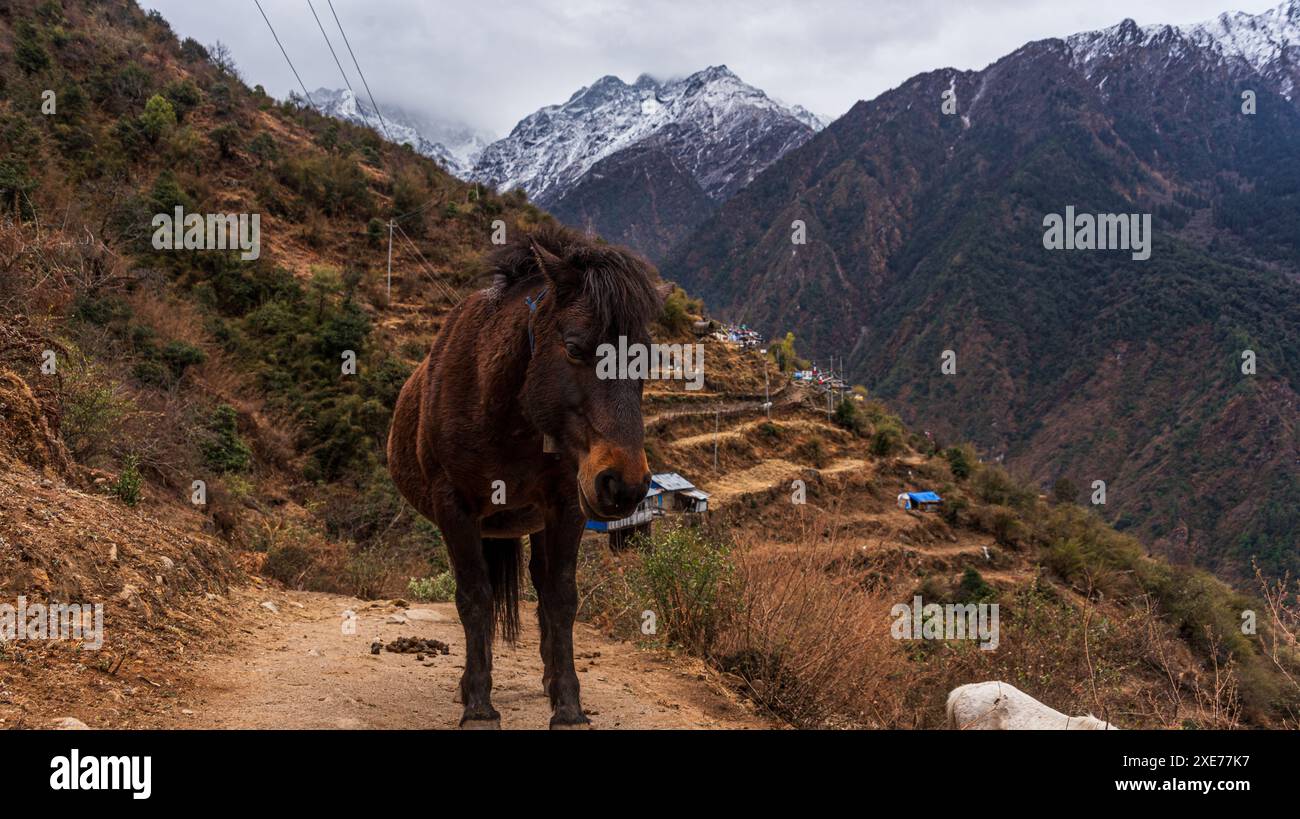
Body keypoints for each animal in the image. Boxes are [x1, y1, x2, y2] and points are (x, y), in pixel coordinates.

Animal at [384, 220, 660, 728]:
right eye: (574, 347)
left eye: (646, 359)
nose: (625, 484)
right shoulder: (455, 507)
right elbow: (474, 599)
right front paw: (478, 705)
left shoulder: (567, 506)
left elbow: (561, 598)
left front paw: (568, 706)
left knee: (541, 584)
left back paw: (548, 681)